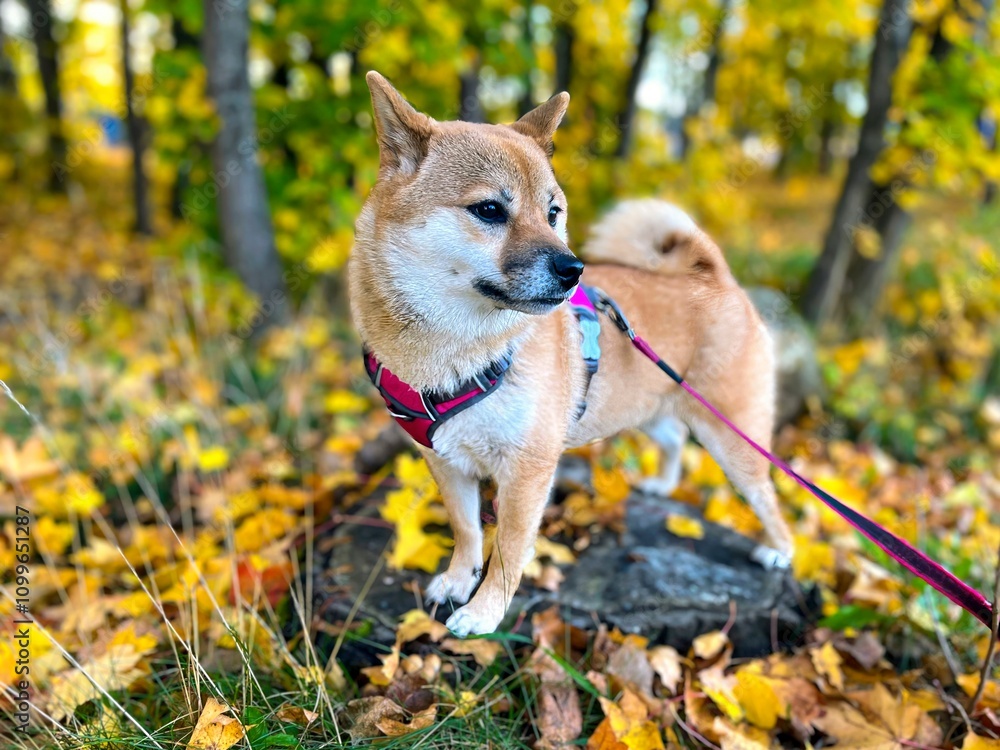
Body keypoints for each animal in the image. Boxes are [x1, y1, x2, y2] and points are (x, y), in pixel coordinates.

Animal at [348, 70, 792, 636]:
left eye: (553, 213)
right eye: (489, 209)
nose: (573, 269)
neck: (460, 349)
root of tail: (718, 280)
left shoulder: (527, 469)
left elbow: (508, 551)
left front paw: (484, 612)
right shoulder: (446, 460)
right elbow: (468, 531)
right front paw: (456, 580)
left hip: (731, 437)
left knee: (767, 494)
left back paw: (780, 550)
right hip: (646, 403)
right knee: (672, 437)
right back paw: (662, 484)